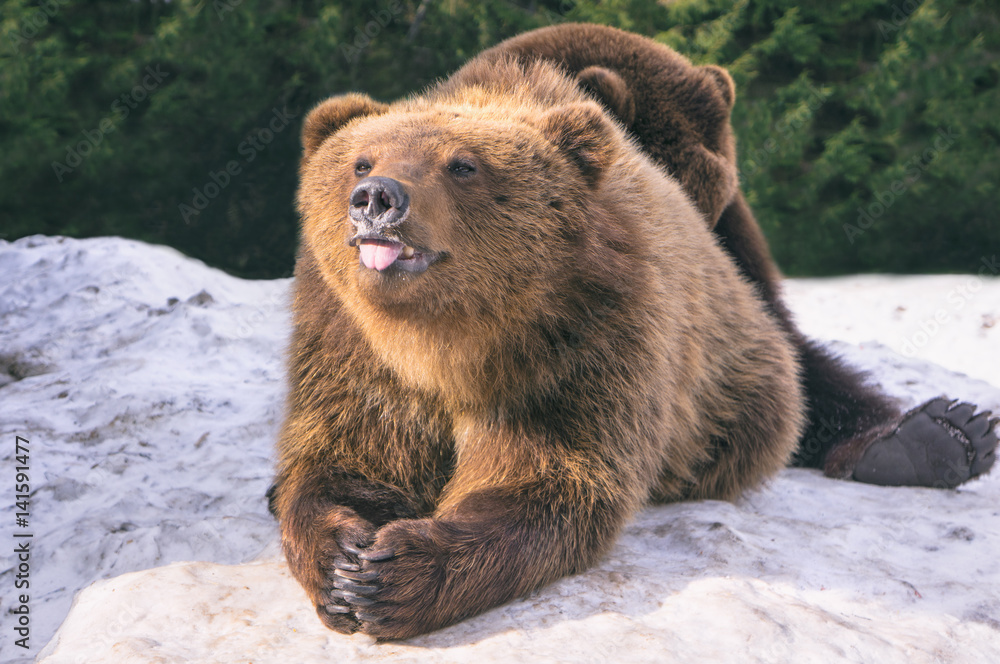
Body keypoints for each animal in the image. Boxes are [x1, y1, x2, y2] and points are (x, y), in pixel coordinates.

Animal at [270, 55, 808, 640]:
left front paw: (392, 576)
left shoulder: (582, 347)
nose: (377, 198)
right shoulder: (352, 348)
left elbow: (546, 479)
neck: (444, 341)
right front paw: (340, 563)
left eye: (463, 165)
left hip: (731, 392)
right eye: (360, 162)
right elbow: (348, 459)